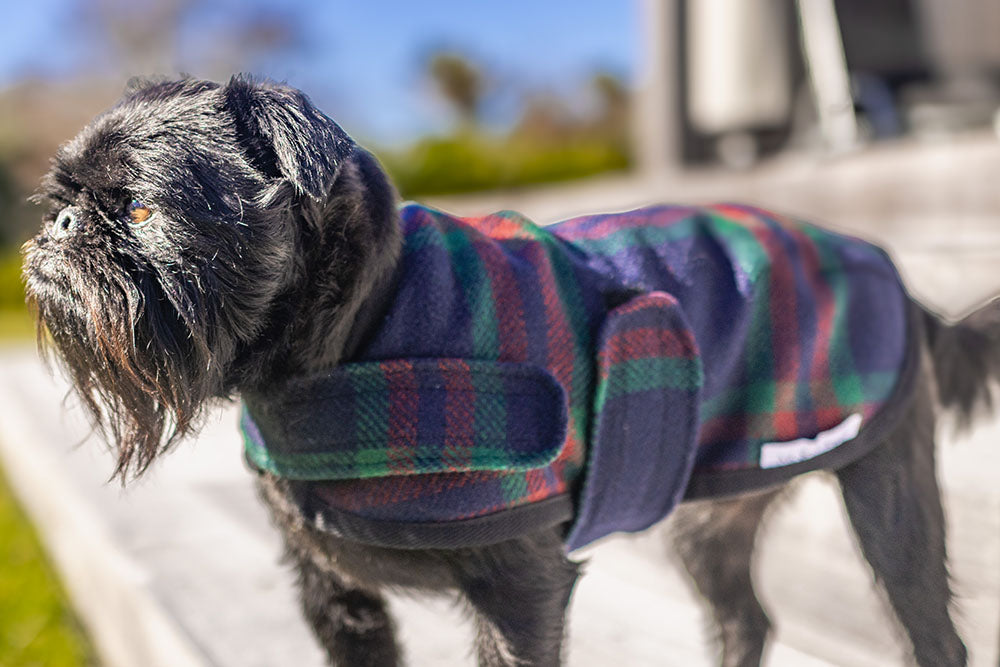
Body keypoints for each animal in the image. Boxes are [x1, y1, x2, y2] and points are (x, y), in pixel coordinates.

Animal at [19, 75, 996, 664]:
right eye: (65, 201)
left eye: (141, 210)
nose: (59, 229)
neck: (364, 329)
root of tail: (895, 277)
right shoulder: (335, 596)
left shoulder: (521, 589)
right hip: (705, 509)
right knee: (742, 616)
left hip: (887, 496)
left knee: (926, 625)